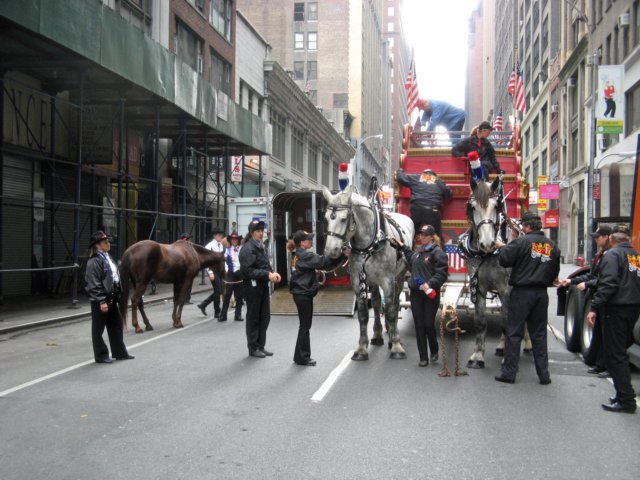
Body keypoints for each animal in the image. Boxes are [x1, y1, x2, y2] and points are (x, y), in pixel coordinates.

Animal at [320, 187, 416, 360]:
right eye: (326, 218)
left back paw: (392, 334)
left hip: (399, 276)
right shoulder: (358, 281)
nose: (331, 251)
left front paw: (396, 345)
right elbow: (364, 315)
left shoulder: (387, 280)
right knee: (377, 303)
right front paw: (361, 348)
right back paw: (378, 334)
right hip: (372, 280)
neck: (371, 243)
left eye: (344, 219)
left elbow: (391, 311)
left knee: (395, 302)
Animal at [462, 176, 532, 368]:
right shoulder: (478, 286)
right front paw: (478, 356)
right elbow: (480, 321)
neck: (488, 254)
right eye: (472, 207)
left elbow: (509, 322)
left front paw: (508, 356)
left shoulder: (506, 288)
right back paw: (501, 346)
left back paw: (528, 344)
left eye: (496, 206)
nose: (487, 243)